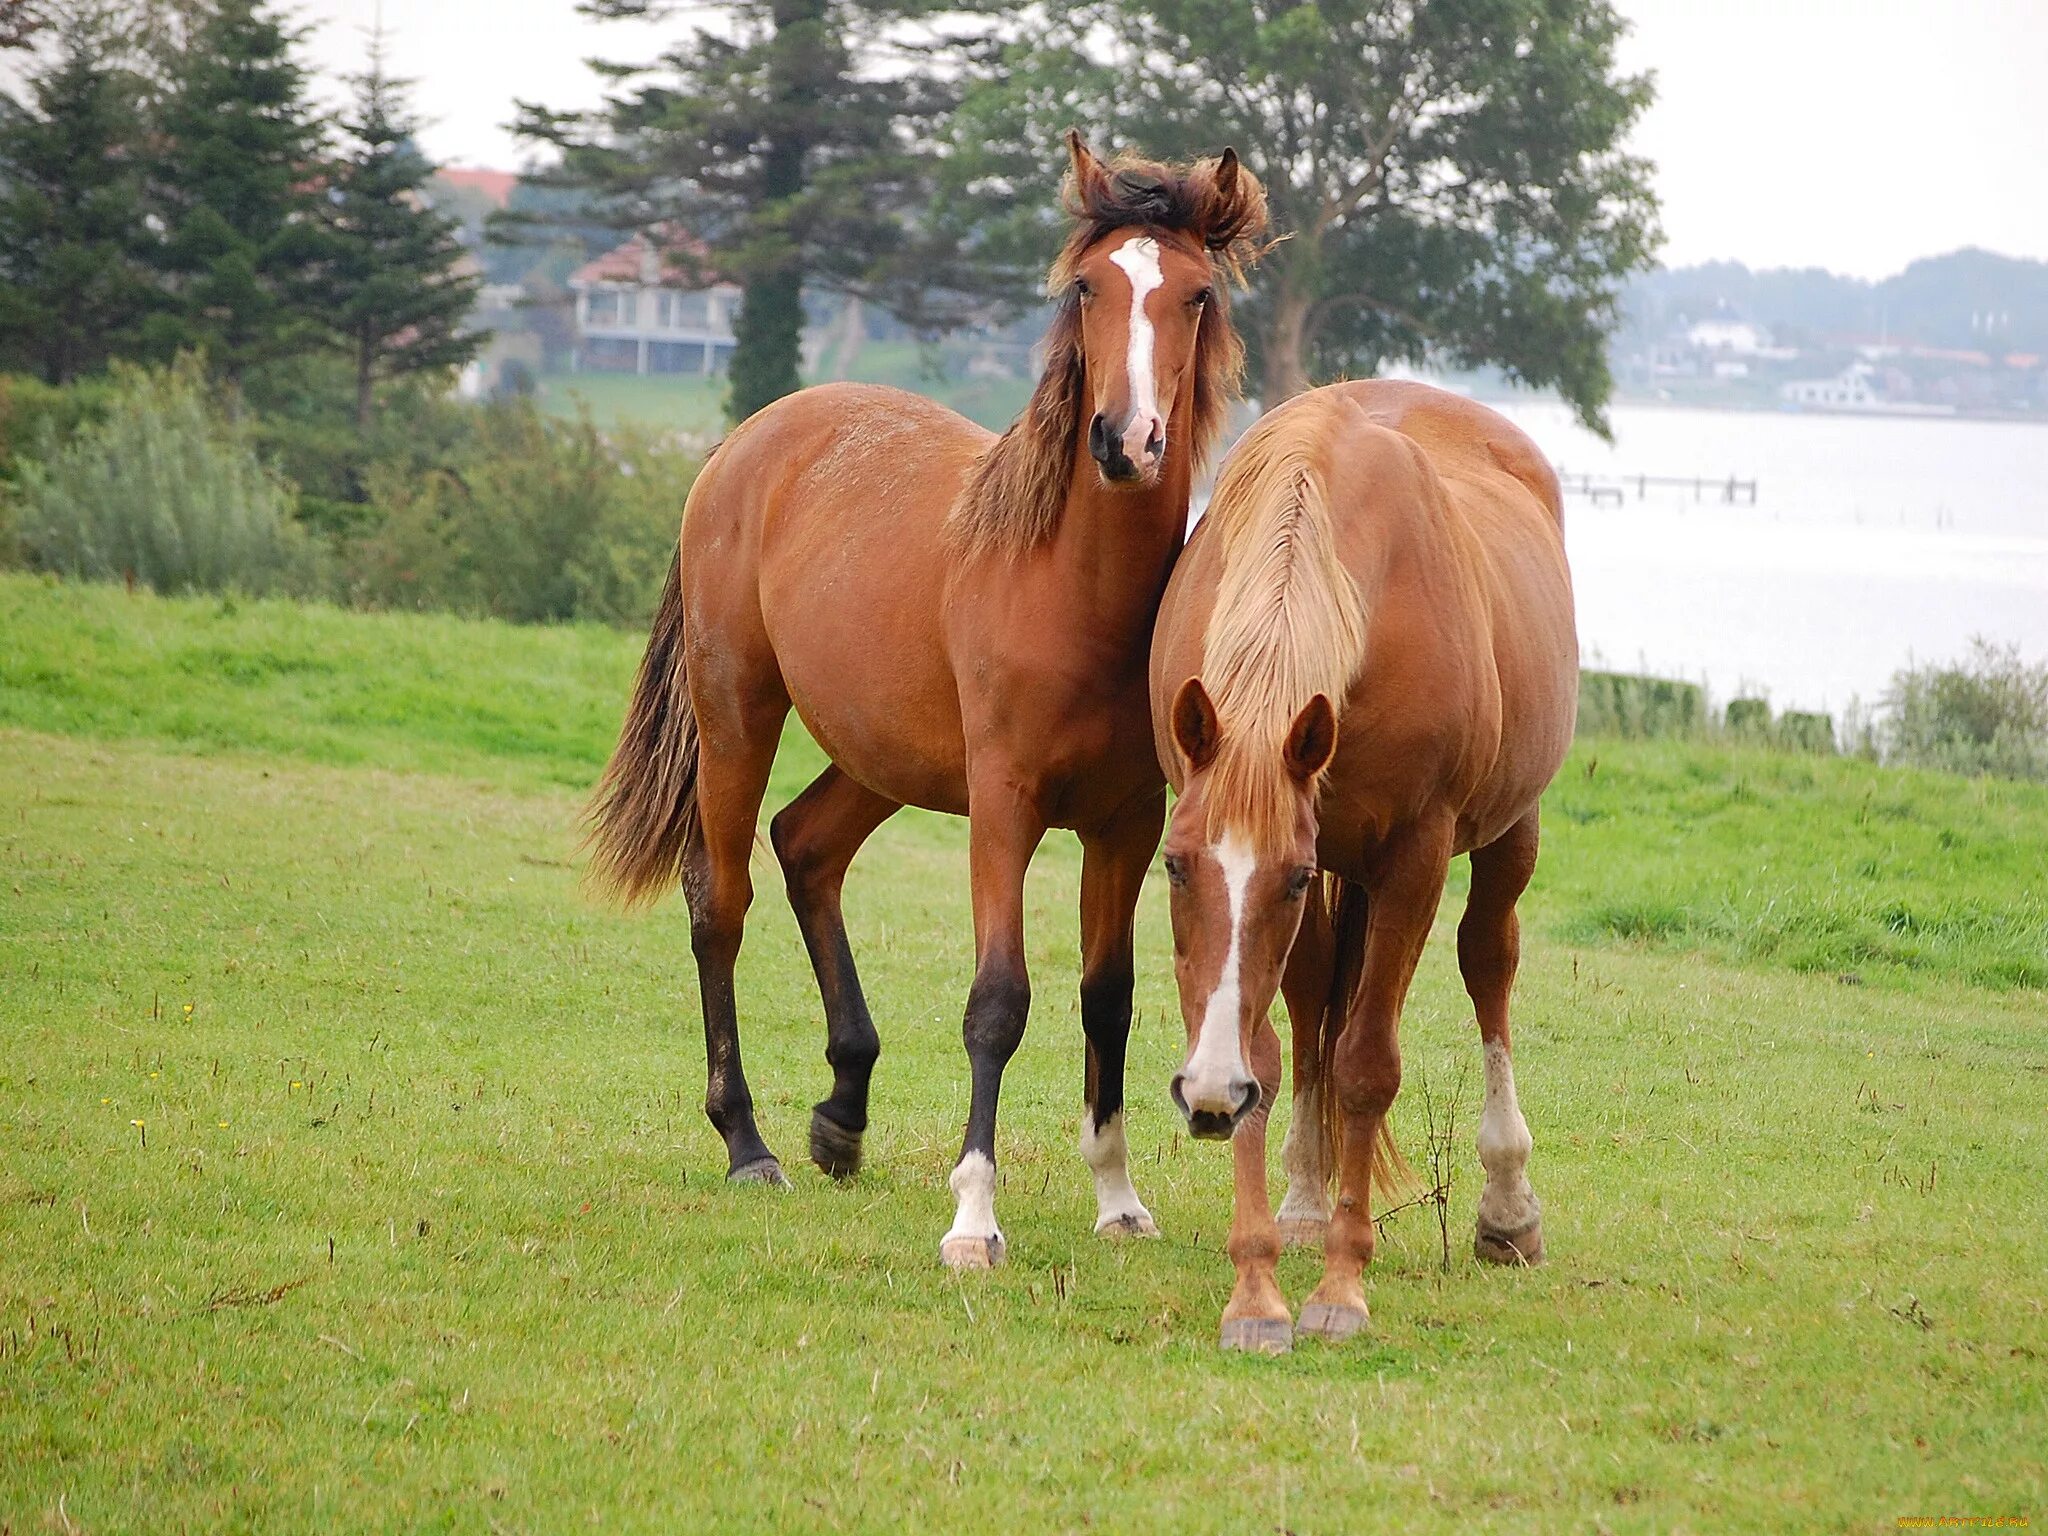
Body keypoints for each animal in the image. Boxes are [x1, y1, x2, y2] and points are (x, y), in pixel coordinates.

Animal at [585, 141, 1269, 1277]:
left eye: (1196, 294)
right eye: (1089, 288)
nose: (1124, 440)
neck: (1068, 588)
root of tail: (747, 443)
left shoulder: (1123, 827)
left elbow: (1108, 1001)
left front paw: (1117, 1199)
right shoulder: (1002, 810)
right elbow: (998, 1003)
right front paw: (973, 1218)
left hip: (879, 757)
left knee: (806, 846)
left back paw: (842, 1113)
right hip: (737, 713)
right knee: (720, 898)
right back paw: (748, 1142)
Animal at [1146, 385, 1572, 1359]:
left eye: (1294, 879)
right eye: (1175, 867)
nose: (1204, 1095)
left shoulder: (1409, 857)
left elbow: (1369, 1065)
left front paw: (1341, 1287)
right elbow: (1270, 1055)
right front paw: (1257, 1289)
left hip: (1507, 833)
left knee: (1488, 964)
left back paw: (1507, 1206)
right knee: (1311, 1009)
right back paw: (1306, 1198)